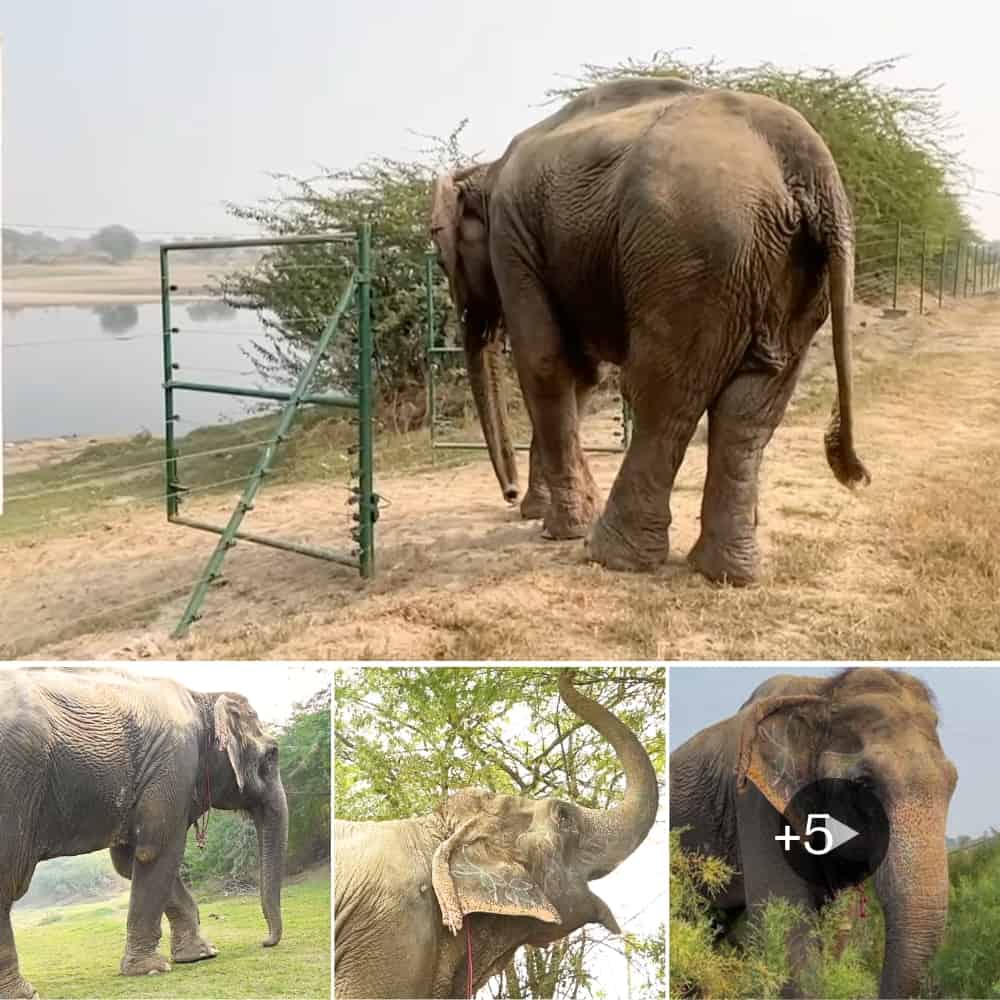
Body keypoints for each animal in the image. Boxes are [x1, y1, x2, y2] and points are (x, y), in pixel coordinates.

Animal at [0, 667, 289, 999]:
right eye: (272, 754)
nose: (265, 942)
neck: (202, 697)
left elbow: (129, 860)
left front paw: (201, 955)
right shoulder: (174, 765)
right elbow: (157, 850)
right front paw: (151, 969)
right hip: (15, 781)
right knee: (9, 877)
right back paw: (24, 993)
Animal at [429, 76, 870, 585]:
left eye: (440, 260)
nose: (509, 492)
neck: (486, 171)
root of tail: (808, 159)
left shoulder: (512, 236)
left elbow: (544, 363)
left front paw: (556, 529)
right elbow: (582, 375)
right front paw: (538, 513)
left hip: (693, 253)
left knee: (665, 391)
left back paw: (609, 554)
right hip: (781, 268)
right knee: (755, 404)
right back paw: (727, 572)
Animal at [670, 667, 958, 998]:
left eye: (953, 782)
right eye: (863, 783)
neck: (823, 696)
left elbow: (837, 927)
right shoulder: (755, 800)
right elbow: (786, 926)